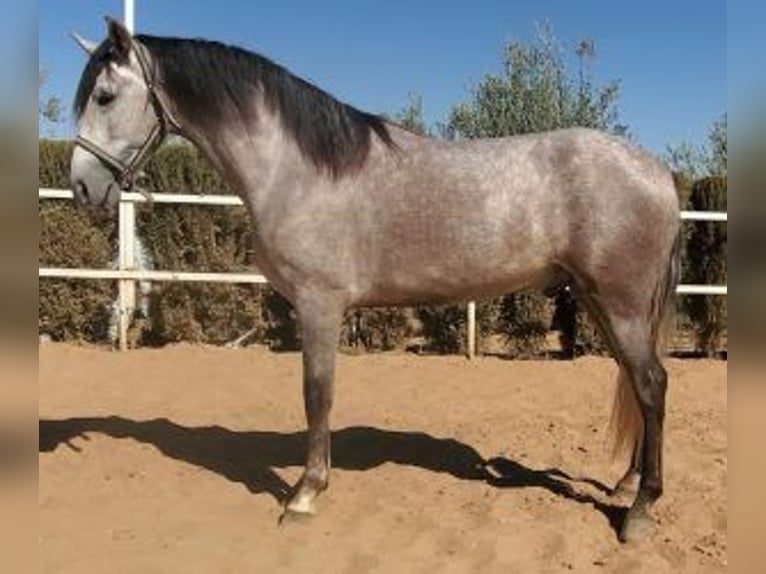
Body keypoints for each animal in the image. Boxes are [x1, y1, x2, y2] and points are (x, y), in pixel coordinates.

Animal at [69, 18, 680, 543]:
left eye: (104, 97)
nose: (81, 187)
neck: (298, 170)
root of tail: (658, 172)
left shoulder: (318, 304)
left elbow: (317, 394)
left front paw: (305, 494)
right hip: (602, 301)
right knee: (635, 380)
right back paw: (625, 484)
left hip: (620, 302)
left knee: (651, 383)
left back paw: (641, 510)